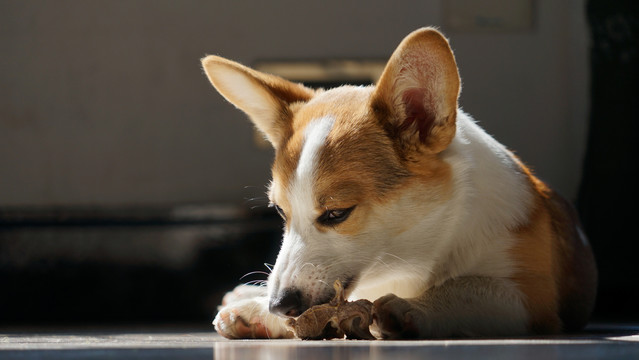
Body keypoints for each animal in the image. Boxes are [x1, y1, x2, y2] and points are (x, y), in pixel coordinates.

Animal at [202, 26, 596, 338]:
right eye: (281, 213)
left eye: (337, 214)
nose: (279, 305)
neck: (411, 255)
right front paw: (257, 311)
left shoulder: (530, 297)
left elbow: (469, 285)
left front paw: (414, 308)